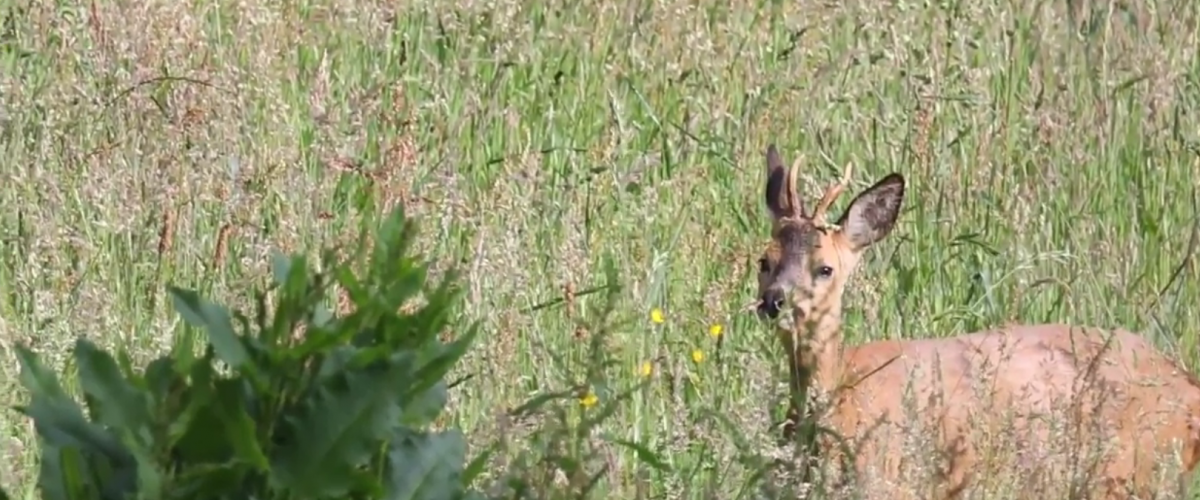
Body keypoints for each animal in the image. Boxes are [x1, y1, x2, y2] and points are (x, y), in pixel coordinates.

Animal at [753, 142, 1200, 496]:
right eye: (764, 261)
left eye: (825, 268)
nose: (774, 302)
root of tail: (1185, 383)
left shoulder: (890, 477)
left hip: (1131, 467)